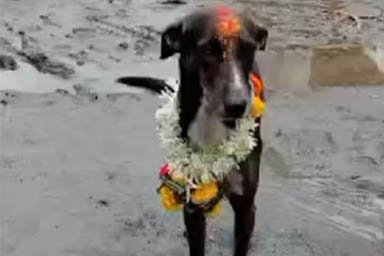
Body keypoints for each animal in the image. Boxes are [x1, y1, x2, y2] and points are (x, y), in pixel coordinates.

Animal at [117, 7, 268, 255]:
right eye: (207, 49)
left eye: (249, 49)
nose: (238, 106)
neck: (211, 122)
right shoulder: (193, 203)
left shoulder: (245, 204)